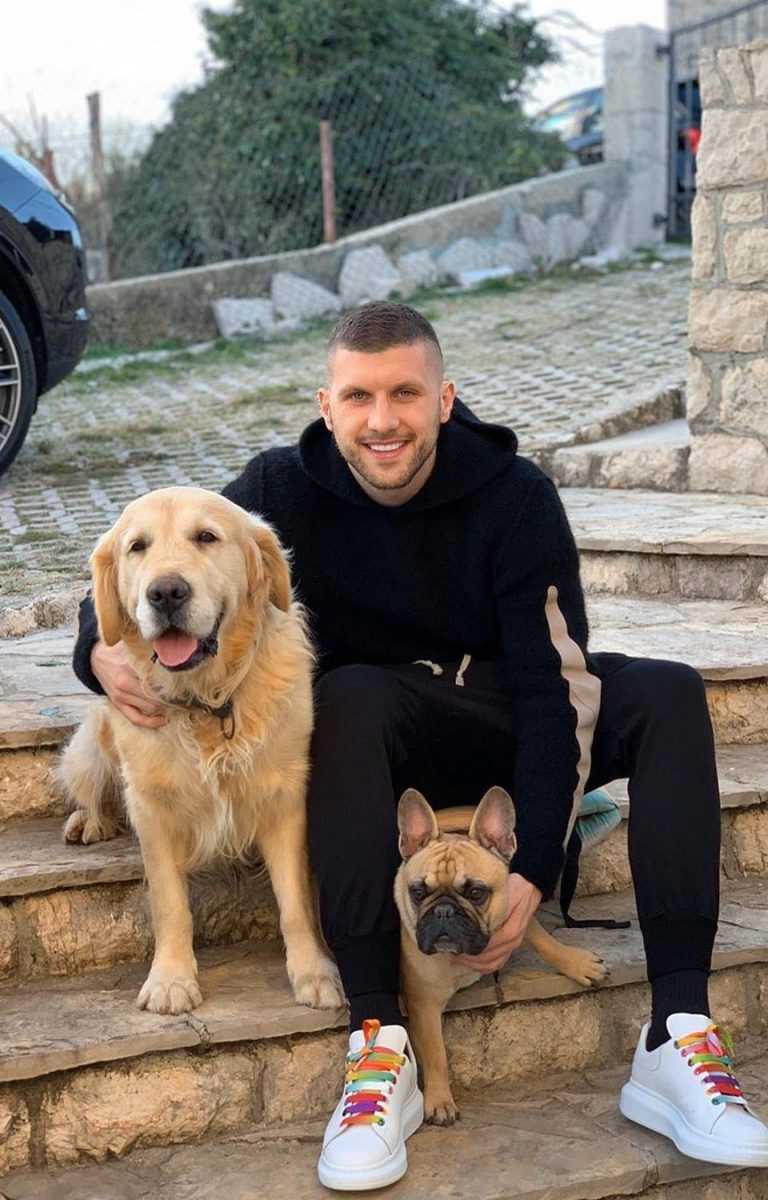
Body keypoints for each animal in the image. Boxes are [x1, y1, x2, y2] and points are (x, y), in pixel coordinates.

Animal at [58, 485, 343, 1017]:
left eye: (206, 537)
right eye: (137, 547)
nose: (166, 592)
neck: (207, 702)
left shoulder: (285, 797)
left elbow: (295, 901)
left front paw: (314, 973)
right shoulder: (151, 807)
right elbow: (170, 905)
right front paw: (171, 980)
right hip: (88, 748)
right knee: (90, 789)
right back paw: (89, 822)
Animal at [395, 785, 608, 1125]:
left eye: (476, 893)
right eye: (417, 892)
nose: (443, 911)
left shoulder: (516, 907)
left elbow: (543, 939)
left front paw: (577, 963)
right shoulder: (423, 1003)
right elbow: (436, 1052)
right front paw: (439, 1100)